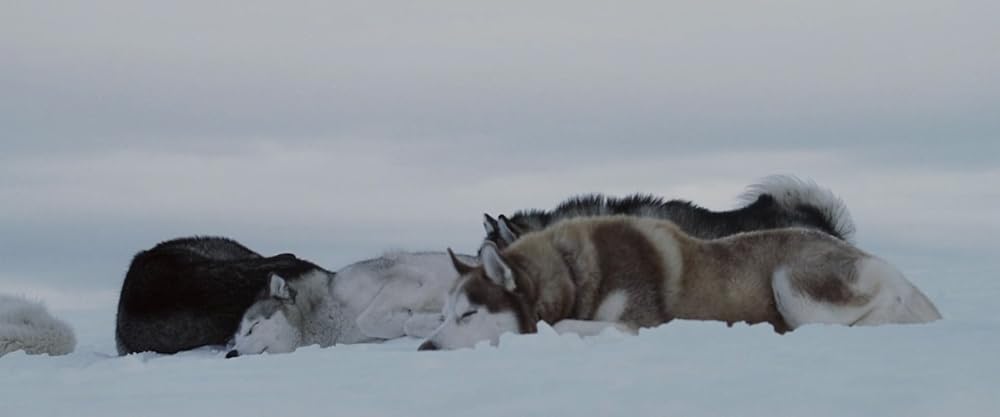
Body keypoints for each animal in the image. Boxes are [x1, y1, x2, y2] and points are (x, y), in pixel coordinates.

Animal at [418, 216, 940, 350]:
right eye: (442, 315)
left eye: (469, 313)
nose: (426, 348)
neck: (573, 273)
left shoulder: (638, 324)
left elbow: (563, 326)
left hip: (790, 280)